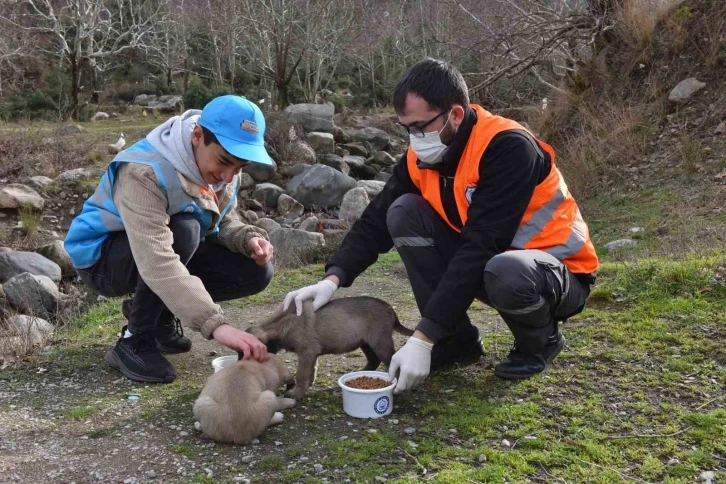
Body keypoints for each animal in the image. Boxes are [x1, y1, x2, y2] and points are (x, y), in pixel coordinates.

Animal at [246, 296, 412, 398]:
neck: (283, 322)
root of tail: (391, 310)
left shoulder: (306, 352)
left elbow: (301, 375)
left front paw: (296, 393)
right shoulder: (312, 355)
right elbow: (311, 370)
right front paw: (309, 384)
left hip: (380, 342)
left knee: (393, 363)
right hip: (366, 342)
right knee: (373, 360)